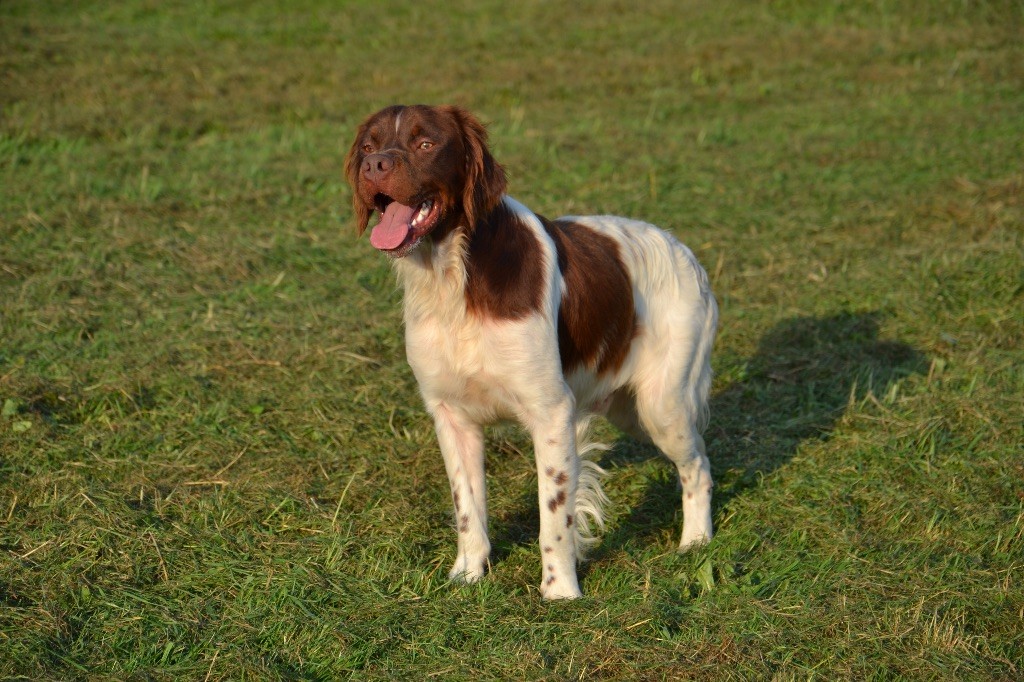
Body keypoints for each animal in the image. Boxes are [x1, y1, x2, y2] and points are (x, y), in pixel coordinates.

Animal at [344, 103, 720, 598]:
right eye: (368, 145)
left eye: (426, 143)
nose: (374, 166)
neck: (455, 280)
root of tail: (685, 252)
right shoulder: (451, 416)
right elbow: (467, 506)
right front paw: (468, 574)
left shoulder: (551, 412)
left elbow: (553, 516)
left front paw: (560, 591)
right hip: (629, 409)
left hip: (663, 406)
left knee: (699, 465)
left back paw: (695, 542)